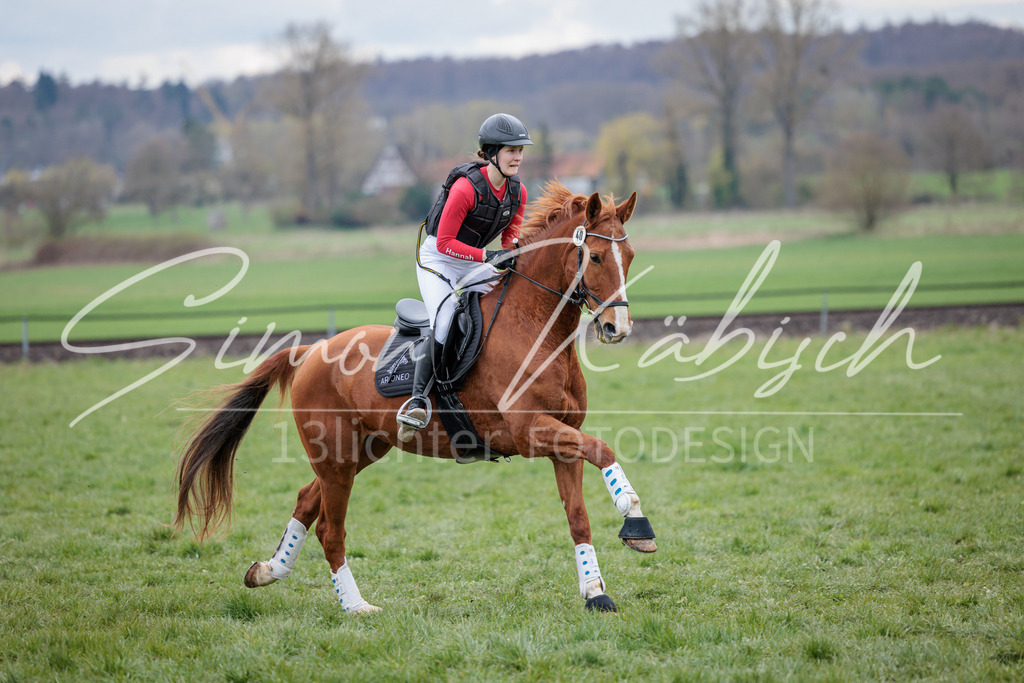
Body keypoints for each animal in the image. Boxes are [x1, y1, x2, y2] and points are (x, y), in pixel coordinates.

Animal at [174, 181, 657, 614]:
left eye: (630, 257)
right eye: (595, 256)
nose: (617, 329)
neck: (537, 329)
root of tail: (312, 350)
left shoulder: (562, 439)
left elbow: (578, 516)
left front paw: (596, 593)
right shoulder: (530, 432)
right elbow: (604, 449)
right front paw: (635, 519)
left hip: (364, 448)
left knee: (307, 500)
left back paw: (267, 571)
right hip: (337, 454)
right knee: (331, 529)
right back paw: (356, 606)